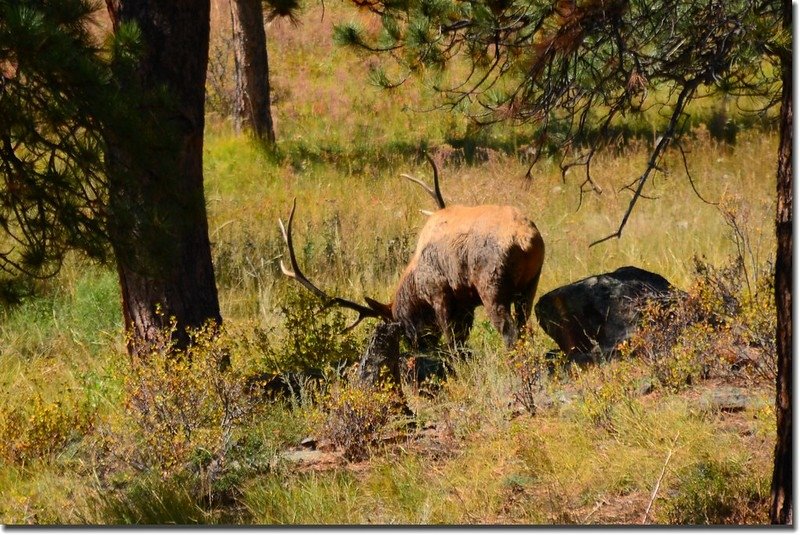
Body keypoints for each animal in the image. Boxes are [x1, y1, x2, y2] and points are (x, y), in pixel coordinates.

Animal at [278, 158, 548, 352]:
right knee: (525, 328)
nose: (415, 346)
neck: (415, 279)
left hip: (492, 286)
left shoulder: (439, 293)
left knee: (510, 333)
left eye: (396, 324)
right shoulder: (465, 302)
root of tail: (527, 239)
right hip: (530, 286)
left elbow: (453, 342)